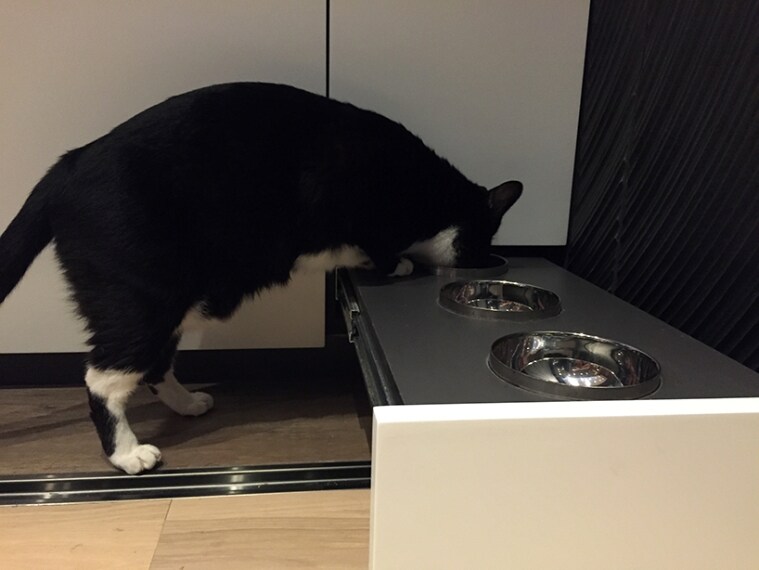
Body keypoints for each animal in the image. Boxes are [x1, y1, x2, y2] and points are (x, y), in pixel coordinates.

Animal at [0, 82, 522, 474]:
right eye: (484, 240)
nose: (489, 259)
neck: (426, 192)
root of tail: (66, 166)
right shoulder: (351, 208)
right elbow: (376, 247)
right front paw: (400, 263)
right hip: (142, 298)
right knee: (102, 378)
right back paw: (127, 453)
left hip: (171, 303)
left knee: (153, 365)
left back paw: (187, 404)